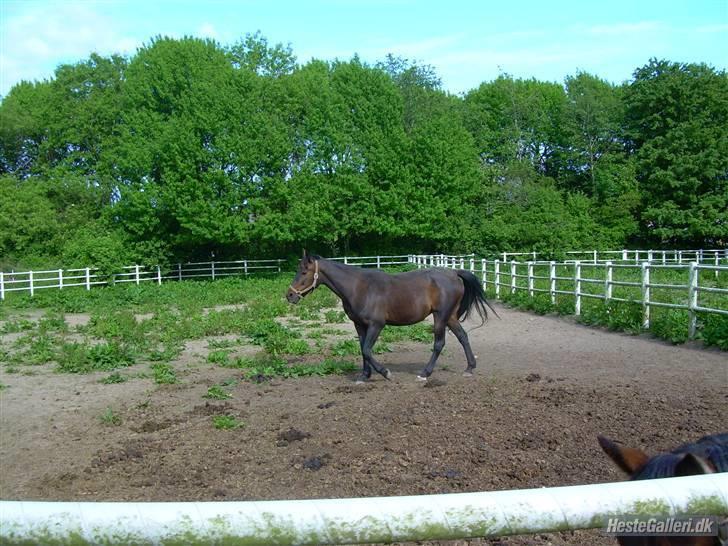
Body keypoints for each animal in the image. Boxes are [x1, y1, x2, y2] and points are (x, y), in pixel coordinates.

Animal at [288, 250, 498, 380]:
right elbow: (363, 349)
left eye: (304, 271)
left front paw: (385, 373)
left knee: (439, 343)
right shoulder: (359, 325)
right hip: (450, 317)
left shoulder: (376, 324)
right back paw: (469, 368)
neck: (358, 287)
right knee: (463, 336)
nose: (289, 295)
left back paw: (425, 373)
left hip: (440, 316)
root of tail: (454, 273)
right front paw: (364, 376)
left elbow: (367, 350)